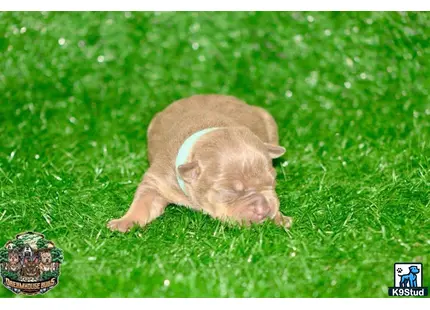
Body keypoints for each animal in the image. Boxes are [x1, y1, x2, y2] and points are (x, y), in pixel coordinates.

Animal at [107, 94, 292, 232]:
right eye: (229, 192)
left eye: (273, 182)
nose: (263, 209)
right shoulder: (157, 181)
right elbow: (143, 203)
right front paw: (124, 221)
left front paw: (280, 218)